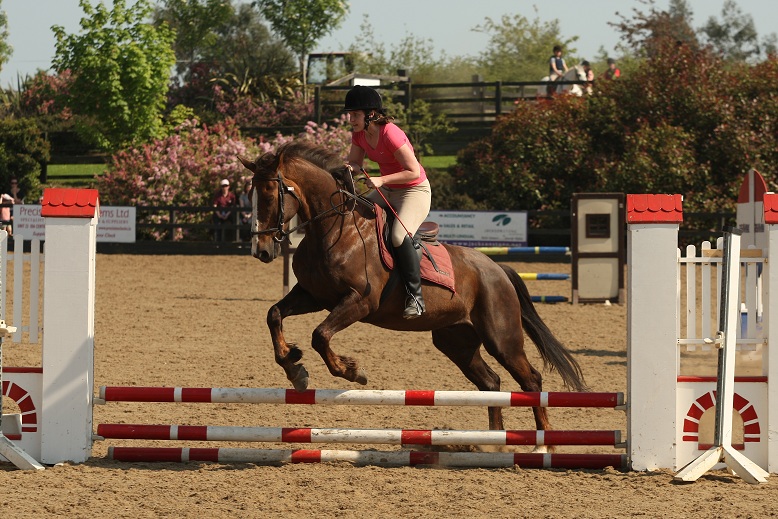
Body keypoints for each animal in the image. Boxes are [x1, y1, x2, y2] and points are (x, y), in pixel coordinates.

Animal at [238, 140, 587, 437]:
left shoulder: (358, 302)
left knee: (530, 380)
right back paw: (493, 441)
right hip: (456, 340)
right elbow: (274, 314)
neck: (334, 228)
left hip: (501, 338)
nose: (262, 251)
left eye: (269, 195)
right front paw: (292, 365)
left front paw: (351, 370)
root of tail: (496, 269)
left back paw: (544, 442)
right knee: (491, 381)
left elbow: (320, 335)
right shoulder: (313, 296)